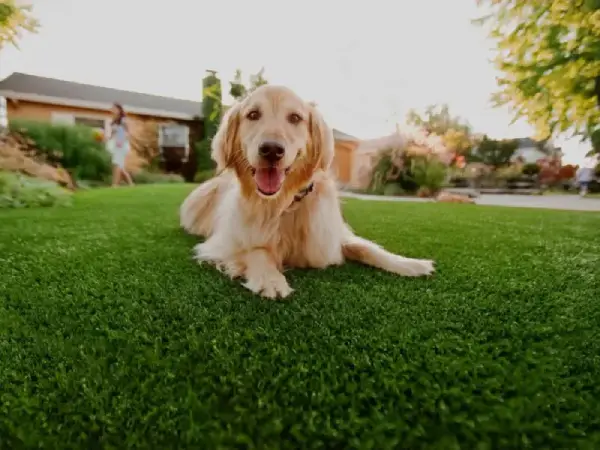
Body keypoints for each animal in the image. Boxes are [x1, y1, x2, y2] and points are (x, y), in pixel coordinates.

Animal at [180, 86, 434, 300]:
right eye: (253, 115)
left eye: (295, 118)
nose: (271, 150)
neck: (284, 204)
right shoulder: (225, 242)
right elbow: (257, 250)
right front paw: (271, 279)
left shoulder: (330, 236)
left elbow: (367, 248)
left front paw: (410, 264)